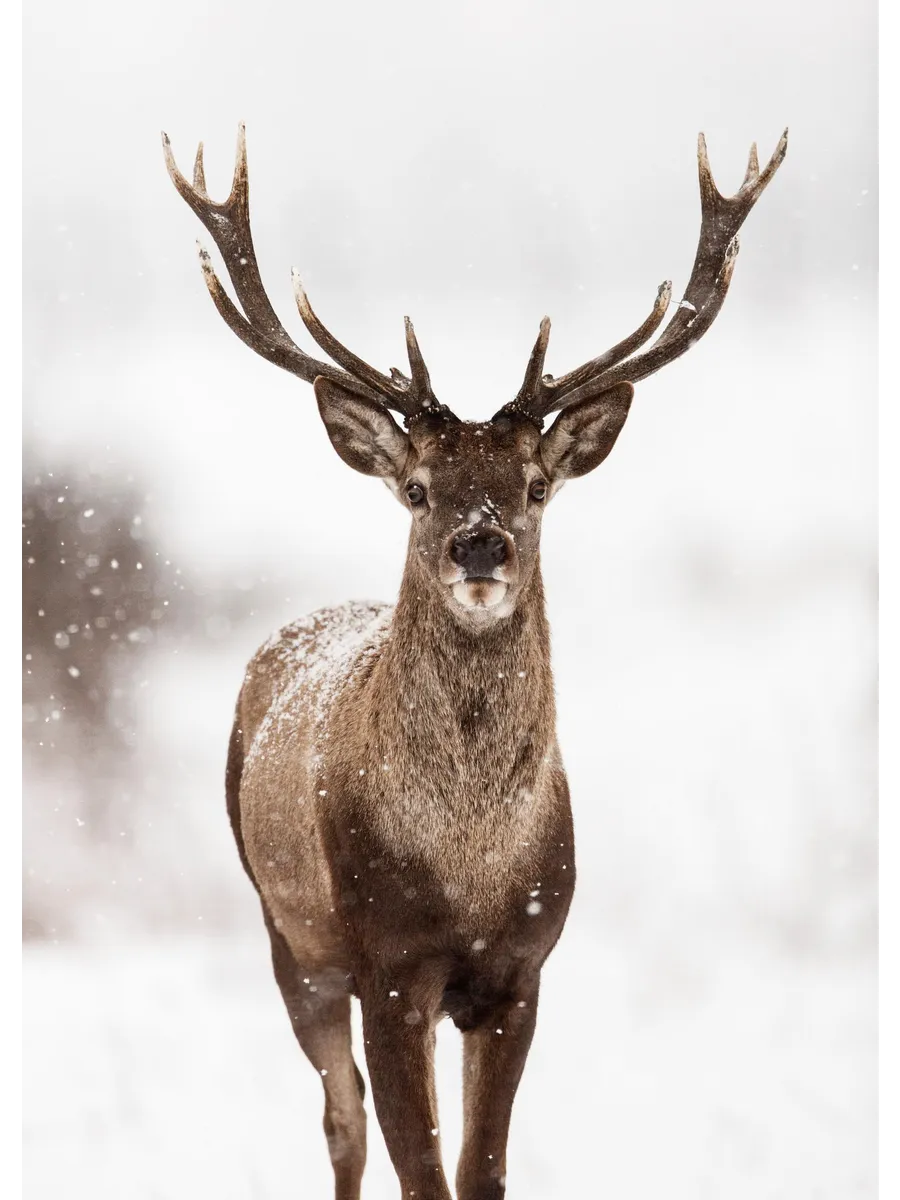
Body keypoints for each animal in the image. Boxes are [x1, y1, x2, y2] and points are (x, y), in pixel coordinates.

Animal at [163, 124, 787, 1200]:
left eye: (534, 485)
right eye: (418, 487)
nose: (480, 544)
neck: (468, 868)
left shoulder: (522, 968)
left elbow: (482, 1168)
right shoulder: (388, 963)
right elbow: (422, 1171)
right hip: (288, 932)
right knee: (340, 1121)